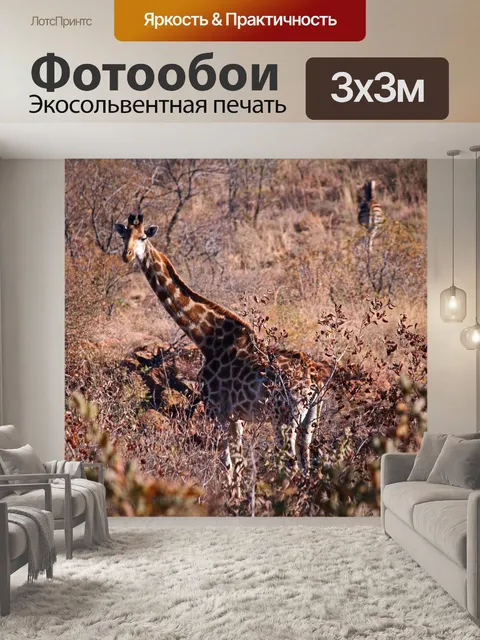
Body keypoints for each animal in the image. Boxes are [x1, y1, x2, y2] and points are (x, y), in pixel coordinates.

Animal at [114, 214, 332, 481]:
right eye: (124, 235)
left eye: (143, 237)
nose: (126, 255)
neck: (206, 337)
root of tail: (315, 380)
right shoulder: (237, 416)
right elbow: (238, 464)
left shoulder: (216, 410)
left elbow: (226, 463)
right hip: (310, 419)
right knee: (307, 462)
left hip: (283, 418)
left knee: (291, 465)